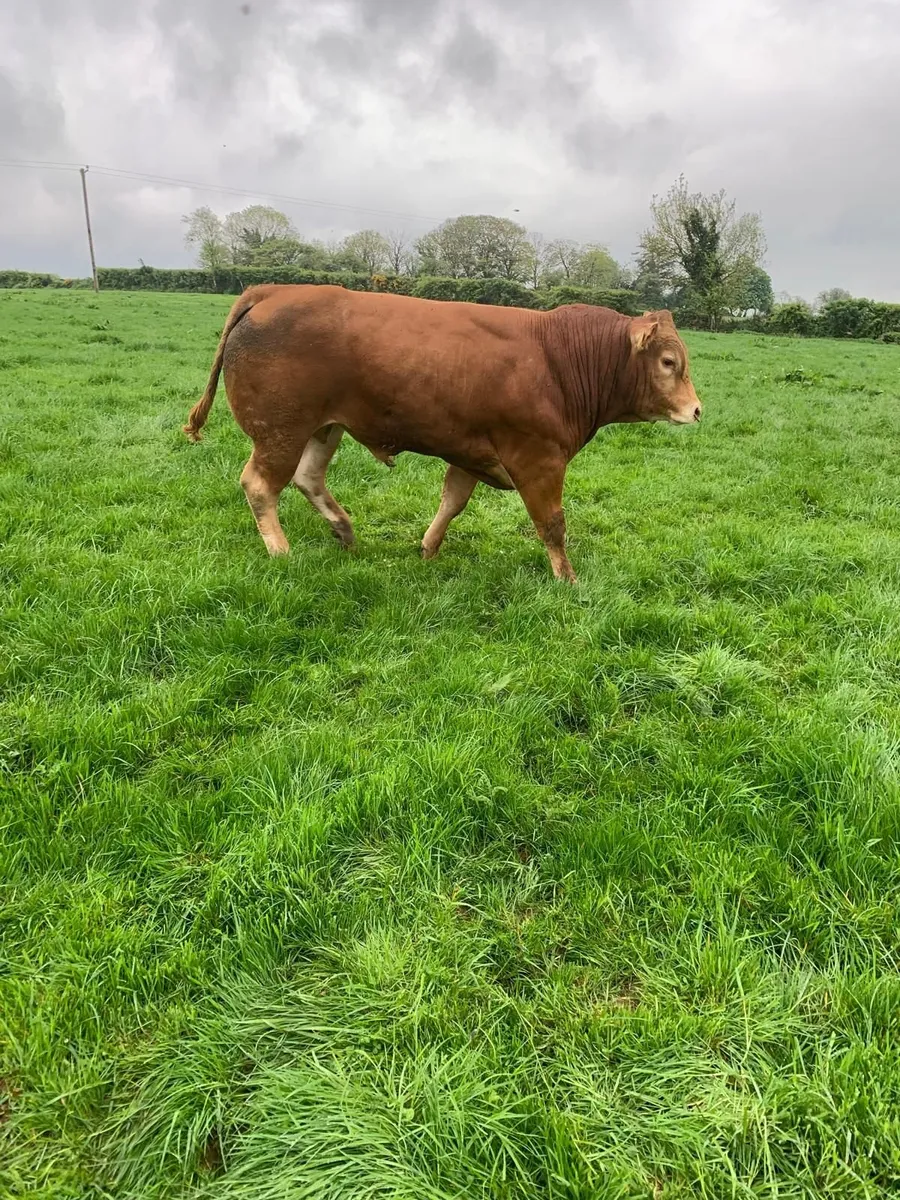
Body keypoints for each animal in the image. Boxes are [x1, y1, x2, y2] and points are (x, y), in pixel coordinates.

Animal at [184, 285, 701, 582]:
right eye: (668, 362)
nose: (696, 410)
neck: (559, 357)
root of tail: (273, 290)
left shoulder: (471, 451)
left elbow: (452, 502)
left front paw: (428, 549)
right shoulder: (538, 458)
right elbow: (552, 524)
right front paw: (567, 578)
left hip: (323, 428)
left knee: (308, 478)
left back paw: (344, 530)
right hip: (280, 431)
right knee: (260, 485)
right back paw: (281, 550)